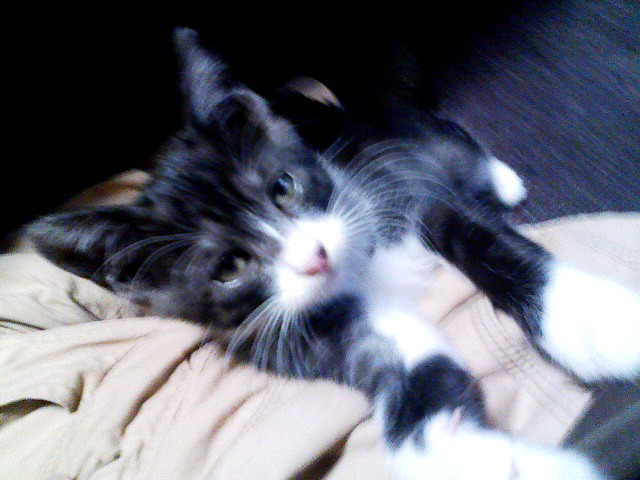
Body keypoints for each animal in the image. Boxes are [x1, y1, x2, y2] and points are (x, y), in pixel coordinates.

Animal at [27, 28, 640, 480]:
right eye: (229, 268)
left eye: (283, 187)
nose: (315, 256)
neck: (361, 268)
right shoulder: (297, 333)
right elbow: (392, 354)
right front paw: (453, 449)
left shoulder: (399, 186)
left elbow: (477, 235)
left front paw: (591, 319)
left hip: (392, 134)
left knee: (444, 138)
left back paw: (500, 177)